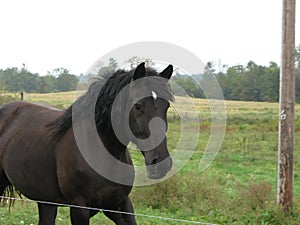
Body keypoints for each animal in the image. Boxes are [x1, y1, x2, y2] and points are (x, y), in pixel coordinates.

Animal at [0, 62, 173, 225]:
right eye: (138, 106)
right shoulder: (80, 208)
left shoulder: (119, 205)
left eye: (167, 106)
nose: (161, 163)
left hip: (46, 200)